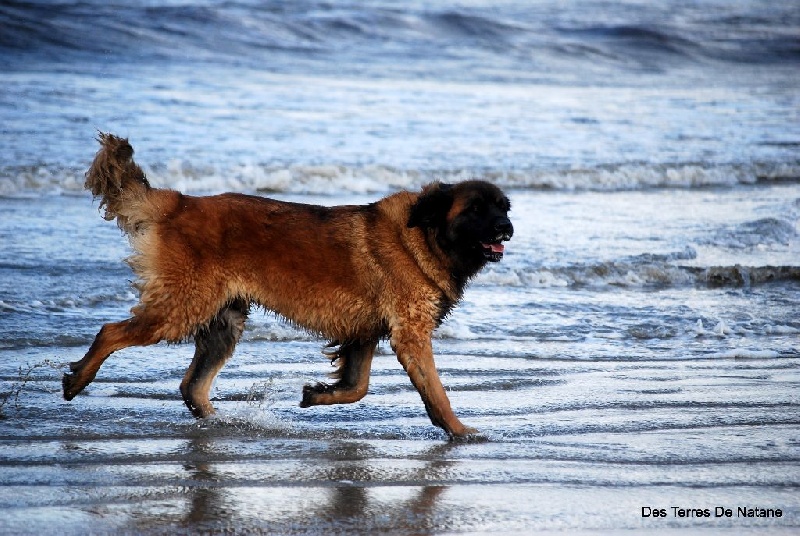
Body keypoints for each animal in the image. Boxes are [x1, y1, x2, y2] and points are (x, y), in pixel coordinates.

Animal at [61, 132, 512, 438]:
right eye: (475, 210)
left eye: (503, 208)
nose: (507, 230)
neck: (424, 234)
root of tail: (179, 202)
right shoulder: (410, 335)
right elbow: (435, 391)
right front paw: (459, 431)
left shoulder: (365, 332)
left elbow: (358, 386)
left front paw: (318, 395)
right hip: (180, 309)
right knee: (111, 332)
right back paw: (78, 378)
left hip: (223, 323)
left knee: (191, 386)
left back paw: (220, 423)